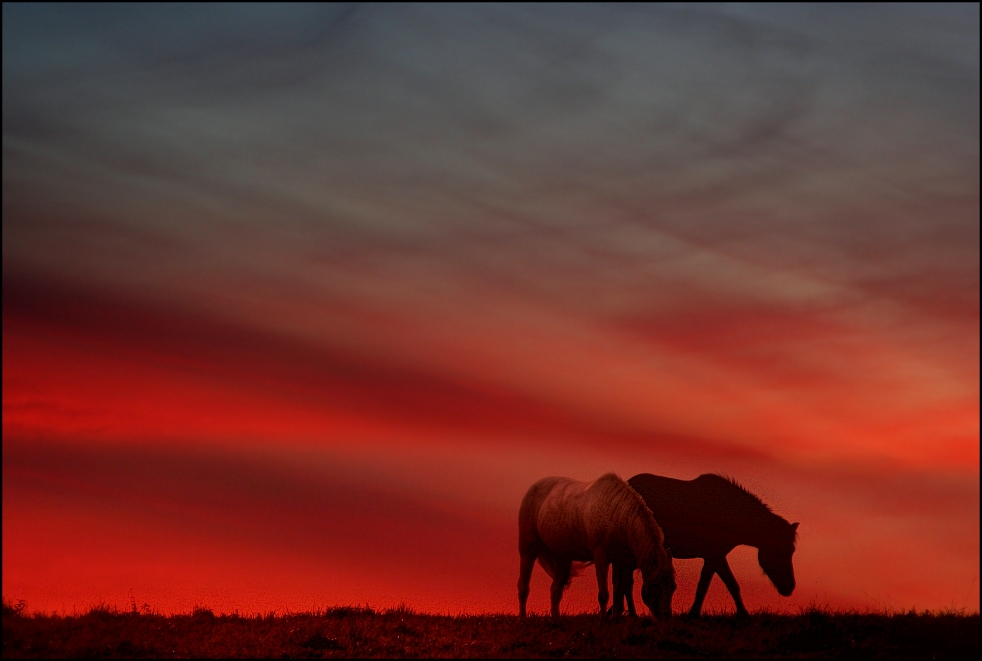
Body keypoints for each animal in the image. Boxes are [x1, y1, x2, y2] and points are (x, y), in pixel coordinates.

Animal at [516, 472, 676, 616]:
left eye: (673, 587)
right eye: (655, 586)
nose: (665, 617)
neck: (616, 514)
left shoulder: (620, 562)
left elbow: (619, 591)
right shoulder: (601, 556)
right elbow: (604, 594)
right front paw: (603, 621)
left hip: (562, 558)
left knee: (556, 589)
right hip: (527, 549)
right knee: (523, 587)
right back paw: (522, 618)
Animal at [620, 472, 804, 616]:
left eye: (792, 550)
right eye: (778, 550)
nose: (789, 588)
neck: (727, 512)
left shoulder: (712, 558)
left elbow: (706, 585)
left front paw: (694, 613)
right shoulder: (715, 556)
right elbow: (728, 584)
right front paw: (743, 614)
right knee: (625, 582)